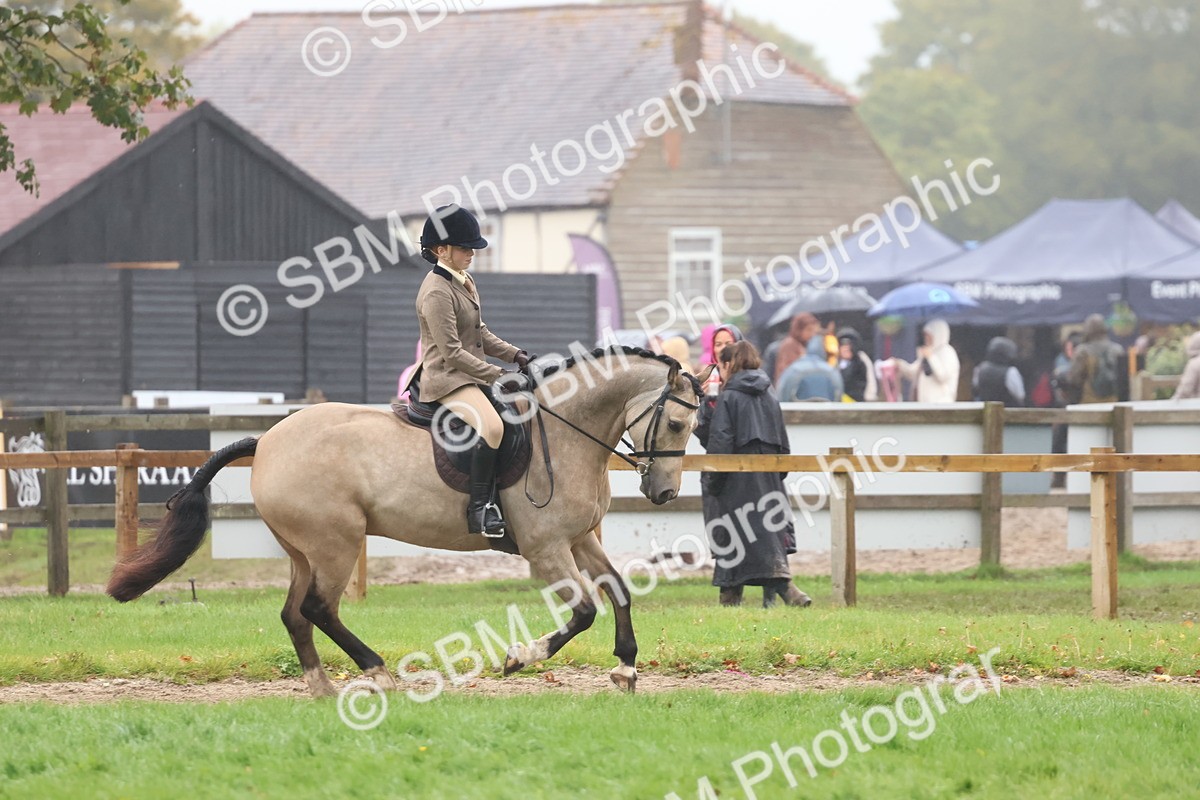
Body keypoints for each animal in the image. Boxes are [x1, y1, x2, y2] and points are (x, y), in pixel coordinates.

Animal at [107, 347, 711, 697]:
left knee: (295, 614)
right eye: (677, 423)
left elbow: (620, 590)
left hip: (306, 551)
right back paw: (377, 672)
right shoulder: (545, 548)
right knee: (318, 609)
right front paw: (519, 657)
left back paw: (322, 688)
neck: (564, 431)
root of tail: (269, 439)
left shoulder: (578, 538)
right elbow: (585, 610)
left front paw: (626, 669)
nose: (663, 493)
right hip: (336, 544)